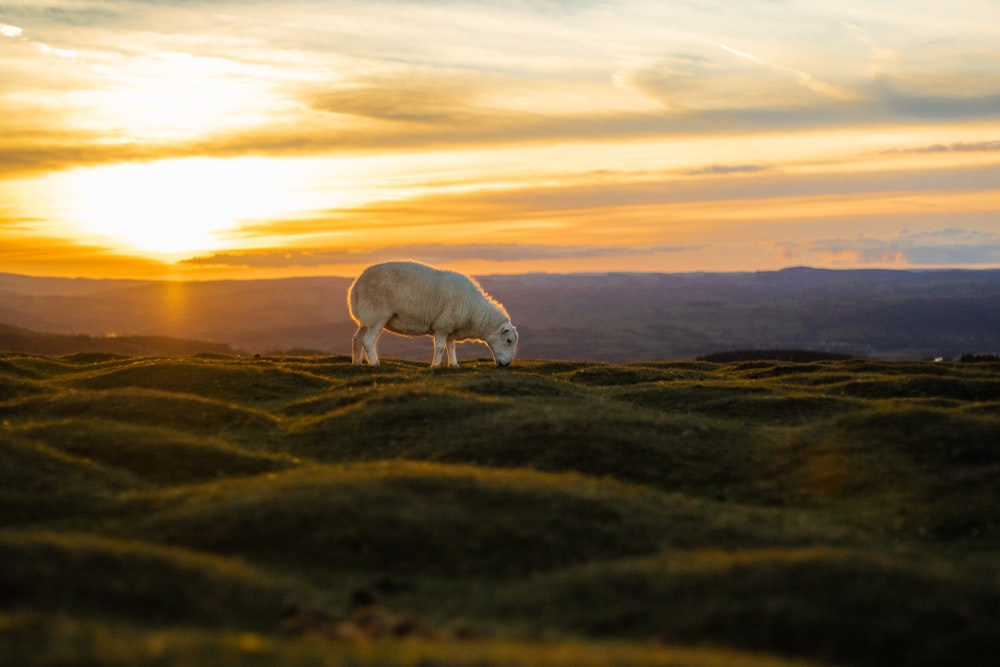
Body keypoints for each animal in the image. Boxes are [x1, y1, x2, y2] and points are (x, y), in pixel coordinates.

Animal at [348, 260, 520, 368]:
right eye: (509, 341)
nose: (507, 365)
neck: (474, 312)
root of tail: (355, 286)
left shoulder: (450, 328)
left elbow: (451, 347)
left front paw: (454, 365)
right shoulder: (442, 326)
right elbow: (440, 348)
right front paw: (435, 365)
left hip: (366, 318)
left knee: (357, 339)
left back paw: (356, 363)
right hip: (377, 316)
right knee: (368, 341)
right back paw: (375, 363)